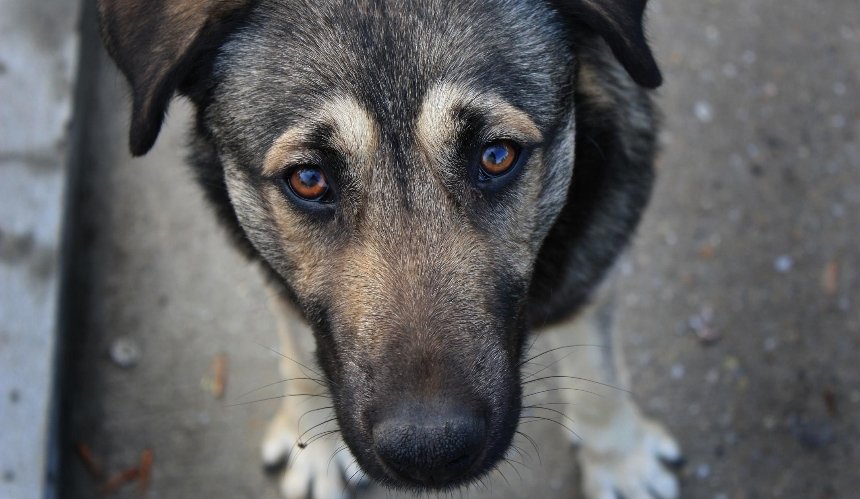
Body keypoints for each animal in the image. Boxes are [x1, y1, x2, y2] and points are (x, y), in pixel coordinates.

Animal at [97, 1, 680, 498]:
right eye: (308, 179)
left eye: (496, 155)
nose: (431, 452)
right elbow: (300, 349)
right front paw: (316, 446)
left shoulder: (592, 260)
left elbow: (599, 377)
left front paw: (620, 462)